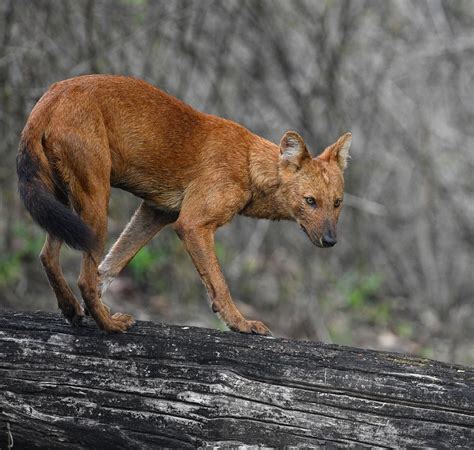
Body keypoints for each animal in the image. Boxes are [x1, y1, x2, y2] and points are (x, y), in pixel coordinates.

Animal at [17, 74, 352, 334]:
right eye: (310, 201)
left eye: (337, 203)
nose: (331, 240)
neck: (248, 166)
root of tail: (50, 96)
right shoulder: (193, 224)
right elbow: (218, 282)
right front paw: (240, 324)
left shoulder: (156, 212)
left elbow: (112, 265)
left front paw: (95, 304)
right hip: (95, 198)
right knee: (82, 277)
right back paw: (110, 326)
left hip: (63, 202)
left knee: (48, 256)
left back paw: (72, 310)